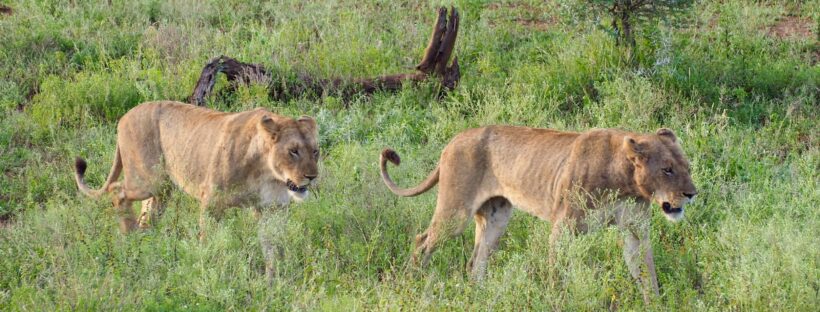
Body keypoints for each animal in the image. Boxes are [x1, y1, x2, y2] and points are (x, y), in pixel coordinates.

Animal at [382, 125, 700, 302]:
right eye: (667, 169)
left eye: (687, 167)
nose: (692, 194)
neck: (625, 181)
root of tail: (453, 140)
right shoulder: (564, 227)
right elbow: (557, 273)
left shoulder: (635, 229)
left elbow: (646, 271)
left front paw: (655, 304)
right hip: (456, 212)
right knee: (422, 241)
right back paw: (410, 285)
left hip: (496, 216)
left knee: (475, 262)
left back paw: (478, 297)